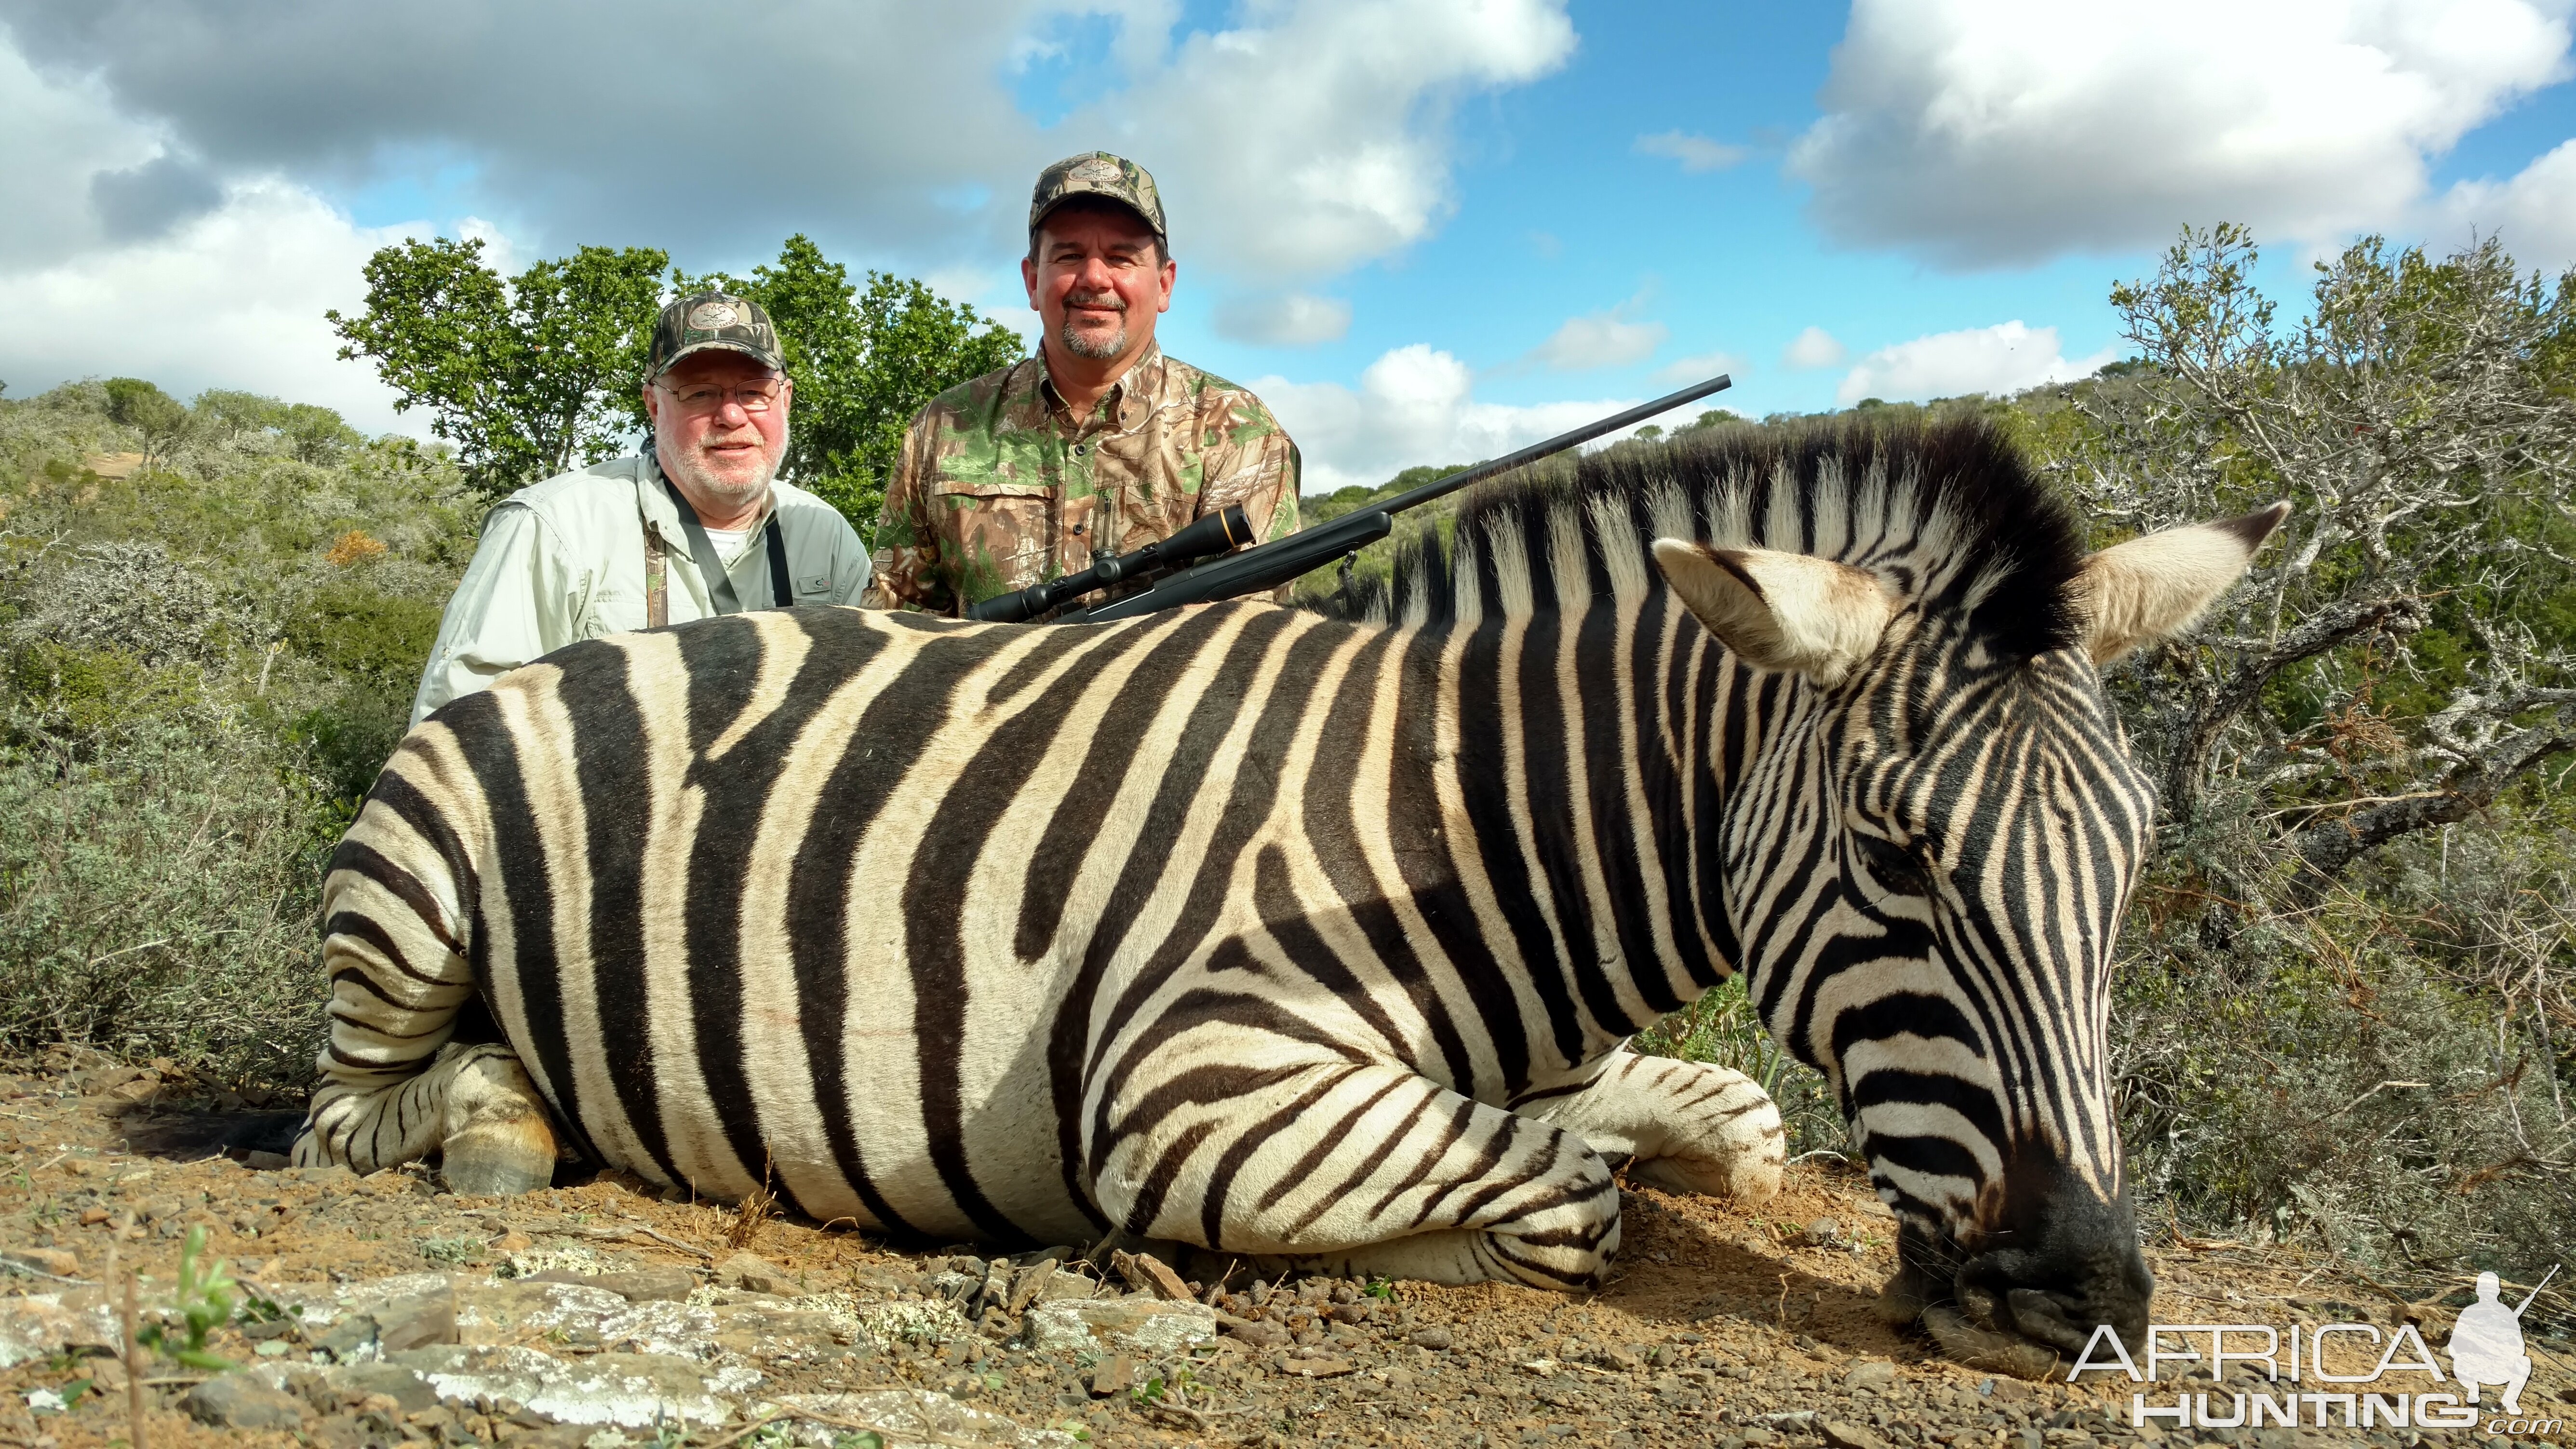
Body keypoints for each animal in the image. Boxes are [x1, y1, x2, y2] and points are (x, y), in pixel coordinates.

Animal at [292, 415, 2287, 1361]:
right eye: (1896, 854)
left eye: (2129, 867)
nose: (2082, 1301)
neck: (1478, 817)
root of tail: (560, 658)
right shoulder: (1186, 1081)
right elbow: (1572, 1207)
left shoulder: (1569, 1059)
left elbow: (1724, 1120)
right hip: (409, 906)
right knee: (349, 1112)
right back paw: (502, 1113)